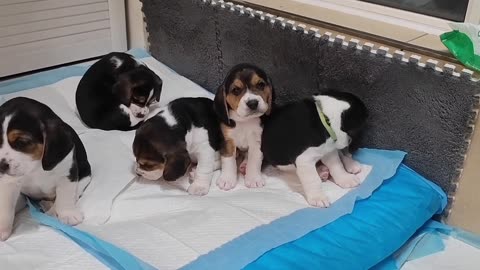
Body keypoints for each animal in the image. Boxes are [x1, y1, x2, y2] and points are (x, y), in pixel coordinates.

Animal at [0, 97, 92, 240]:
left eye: (22, 142)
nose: (0, 165)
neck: (35, 166)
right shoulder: (10, 182)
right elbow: (6, 205)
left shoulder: (67, 174)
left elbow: (65, 195)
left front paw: (68, 214)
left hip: (85, 174)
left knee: (72, 194)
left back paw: (52, 210)